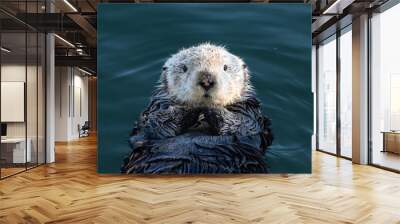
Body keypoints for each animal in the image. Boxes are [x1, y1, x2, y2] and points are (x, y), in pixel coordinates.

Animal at [121, 43, 272, 174]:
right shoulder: (154, 110)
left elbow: (243, 126)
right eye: (184, 68)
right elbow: (155, 125)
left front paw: (211, 107)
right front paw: (190, 108)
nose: (207, 80)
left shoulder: (251, 112)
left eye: (225, 67)